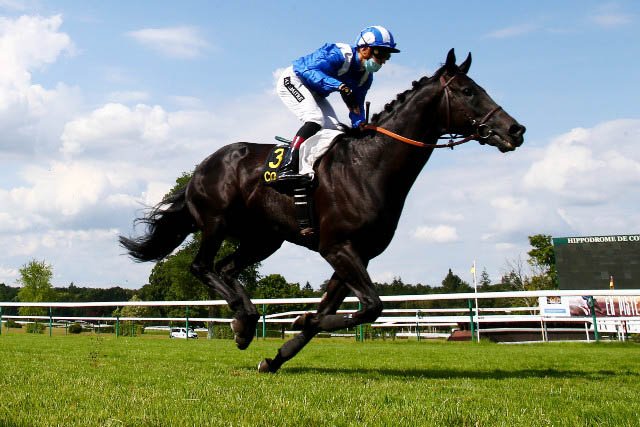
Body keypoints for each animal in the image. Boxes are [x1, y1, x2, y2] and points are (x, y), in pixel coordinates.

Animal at [120, 49, 525, 373]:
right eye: (468, 91)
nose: (515, 129)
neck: (368, 166)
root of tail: (202, 167)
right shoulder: (337, 247)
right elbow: (371, 307)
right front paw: (299, 319)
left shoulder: (357, 254)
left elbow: (338, 310)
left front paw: (278, 353)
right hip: (216, 222)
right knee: (202, 266)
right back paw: (244, 318)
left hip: (264, 239)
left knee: (226, 268)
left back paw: (244, 324)